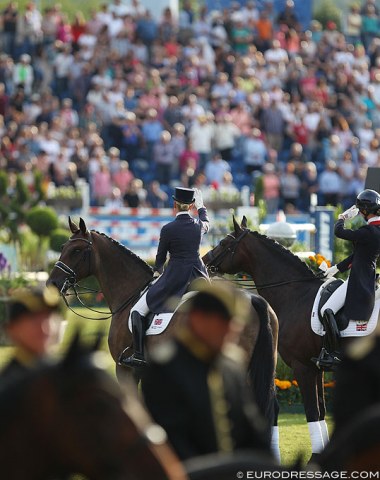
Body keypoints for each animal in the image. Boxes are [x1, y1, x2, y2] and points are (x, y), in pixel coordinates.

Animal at [47, 218, 280, 428]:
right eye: (62, 247)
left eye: (76, 250)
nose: (52, 283)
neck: (130, 292)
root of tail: (252, 299)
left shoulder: (125, 369)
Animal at [202, 218, 332, 458]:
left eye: (224, 242)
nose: (204, 261)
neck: (297, 294)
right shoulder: (316, 367)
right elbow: (320, 410)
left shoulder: (303, 367)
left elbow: (312, 411)